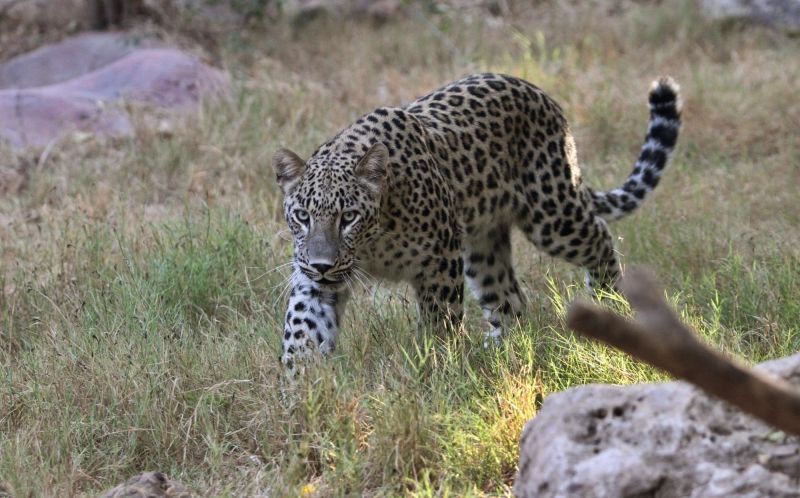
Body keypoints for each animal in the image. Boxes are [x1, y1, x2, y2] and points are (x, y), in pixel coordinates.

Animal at [272, 72, 681, 375]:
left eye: (349, 217)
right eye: (303, 216)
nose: (323, 265)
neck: (373, 241)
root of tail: (536, 91)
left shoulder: (438, 262)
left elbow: (439, 323)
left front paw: (435, 372)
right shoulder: (311, 280)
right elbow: (302, 332)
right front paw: (300, 394)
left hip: (551, 213)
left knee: (599, 237)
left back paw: (609, 301)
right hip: (484, 245)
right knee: (510, 300)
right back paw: (498, 352)